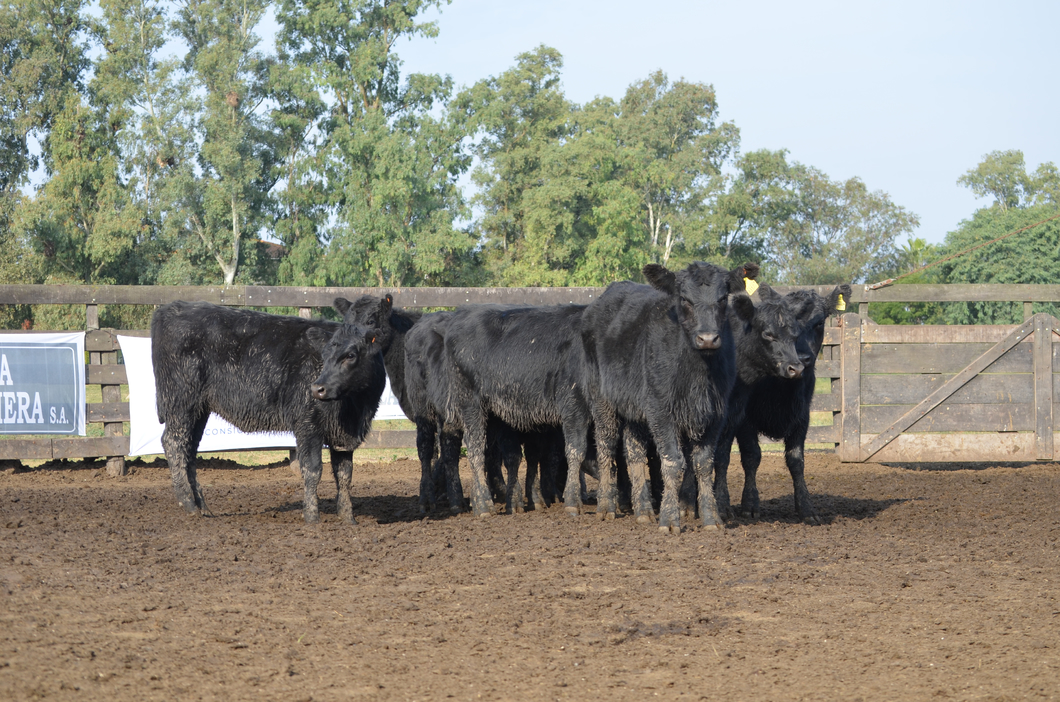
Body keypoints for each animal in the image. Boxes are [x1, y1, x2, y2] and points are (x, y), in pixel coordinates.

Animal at [153, 299, 385, 525]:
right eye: (324, 355)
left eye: (351, 355)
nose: (317, 388)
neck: (355, 410)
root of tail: (172, 307)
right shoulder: (307, 424)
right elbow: (313, 469)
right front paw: (312, 517)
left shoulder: (344, 437)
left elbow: (345, 475)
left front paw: (348, 518)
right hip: (181, 401)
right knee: (174, 442)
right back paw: (188, 503)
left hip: (199, 409)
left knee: (190, 449)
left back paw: (202, 506)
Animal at [580, 264, 754, 534]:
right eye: (684, 299)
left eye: (723, 298)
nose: (707, 338)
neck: (698, 372)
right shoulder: (661, 411)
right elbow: (673, 462)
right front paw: (670, 519)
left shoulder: (716, 413)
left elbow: (704, 463)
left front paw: (711, 517)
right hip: (601, 398)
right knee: (606, 444)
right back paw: (606, 506)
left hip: (635, 409)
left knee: (634, 451)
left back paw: (643, 510)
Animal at [712, 284, 852, 525]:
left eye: (819, 322)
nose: (803, 359)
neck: (781, 389)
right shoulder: (745, 417)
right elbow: (752, 456)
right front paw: (750, 504)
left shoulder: (802, 416)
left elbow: (796, 461)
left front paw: (806, 508)